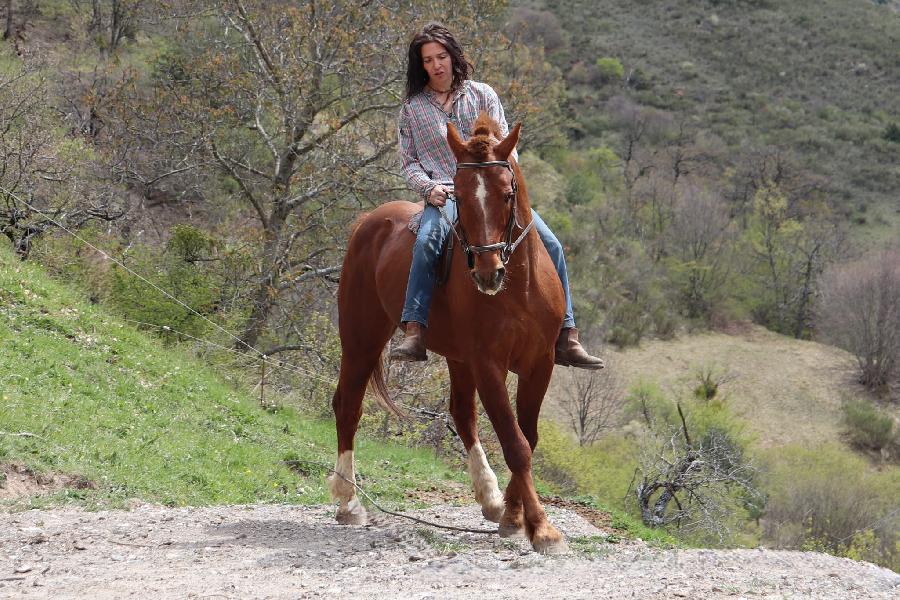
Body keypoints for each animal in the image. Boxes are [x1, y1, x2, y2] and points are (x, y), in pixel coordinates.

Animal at [327, 112, 568, 554]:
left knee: (461, 414)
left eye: (507, 193)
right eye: (461, 195)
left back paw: (489, 497)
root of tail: (368, 222)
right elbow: (515, 444)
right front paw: (541, 527)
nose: (488, 272)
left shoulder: (539, 364)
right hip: (361, 339)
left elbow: (527, 438)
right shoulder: (488, 365)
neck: (518, 288)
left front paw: (512, 514)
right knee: (347, 405)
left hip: (456, 357)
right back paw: (349, 502)